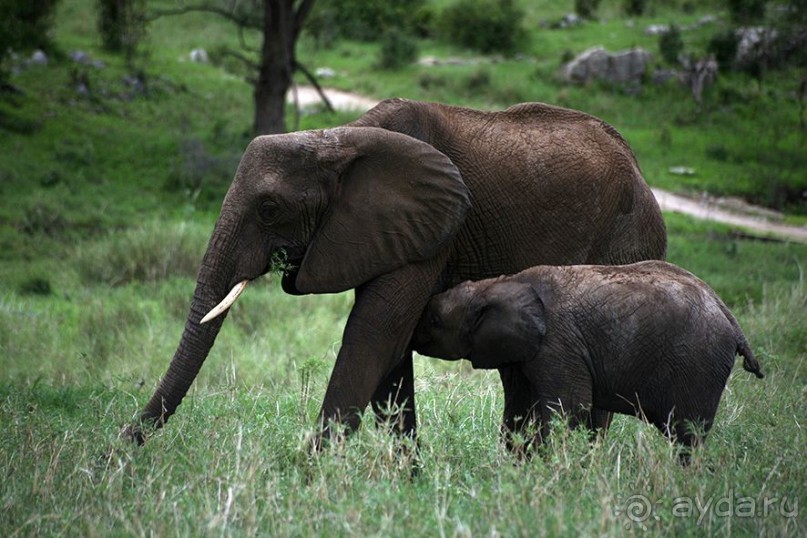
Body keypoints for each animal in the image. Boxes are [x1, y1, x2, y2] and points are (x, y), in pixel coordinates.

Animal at [124, 98, 668, 446]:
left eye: (269, 209)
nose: (119, 447)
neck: (340, 140)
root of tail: (640, 169)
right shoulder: (382, 230)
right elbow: (391, 348)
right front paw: (406, 483)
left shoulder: (435, 226)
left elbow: (373, 331)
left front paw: (309, 478)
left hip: (627, 239)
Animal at [414, 260, 768, 452]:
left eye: (434, 320)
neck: (500, 284)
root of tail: (730, 318)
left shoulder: (557, 345)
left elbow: (570, 407)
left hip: (699, 364)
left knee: (687, 436)